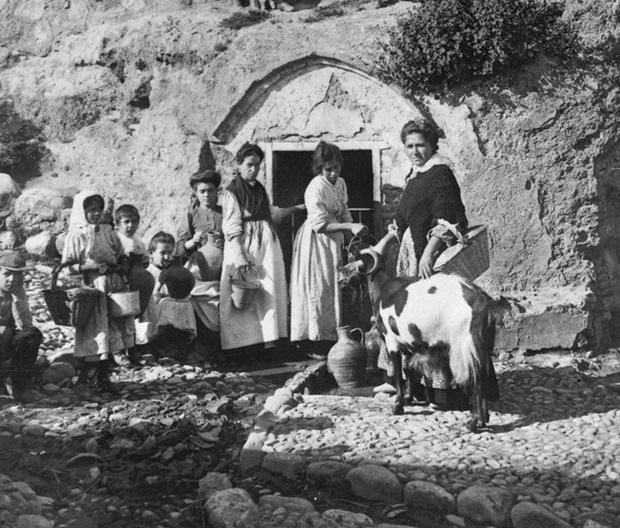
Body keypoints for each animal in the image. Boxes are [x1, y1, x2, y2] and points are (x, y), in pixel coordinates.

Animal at [340, 233, 508, 432]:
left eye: (355, 259)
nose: (340, 273)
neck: (382, 288)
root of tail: (483, 302)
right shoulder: (409, 343)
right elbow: (408, 369)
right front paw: (409, 398)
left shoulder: (391, 342)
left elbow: (398, 374)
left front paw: (397, 406)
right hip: (481, 346)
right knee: (483, 375)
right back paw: (483, 418)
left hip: (464, 346)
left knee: (475, 378)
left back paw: (475, 422)